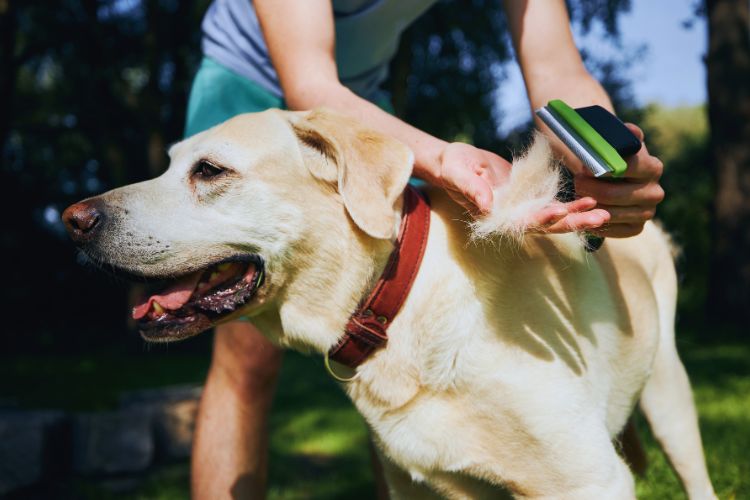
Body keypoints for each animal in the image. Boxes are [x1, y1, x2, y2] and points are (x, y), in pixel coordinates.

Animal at [63, 110, 716, 500]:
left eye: (209, 170)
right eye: (171, 165)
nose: (74, 220)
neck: (396, 302)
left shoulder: (589, 478)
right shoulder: (417, 485)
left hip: (670, 397)